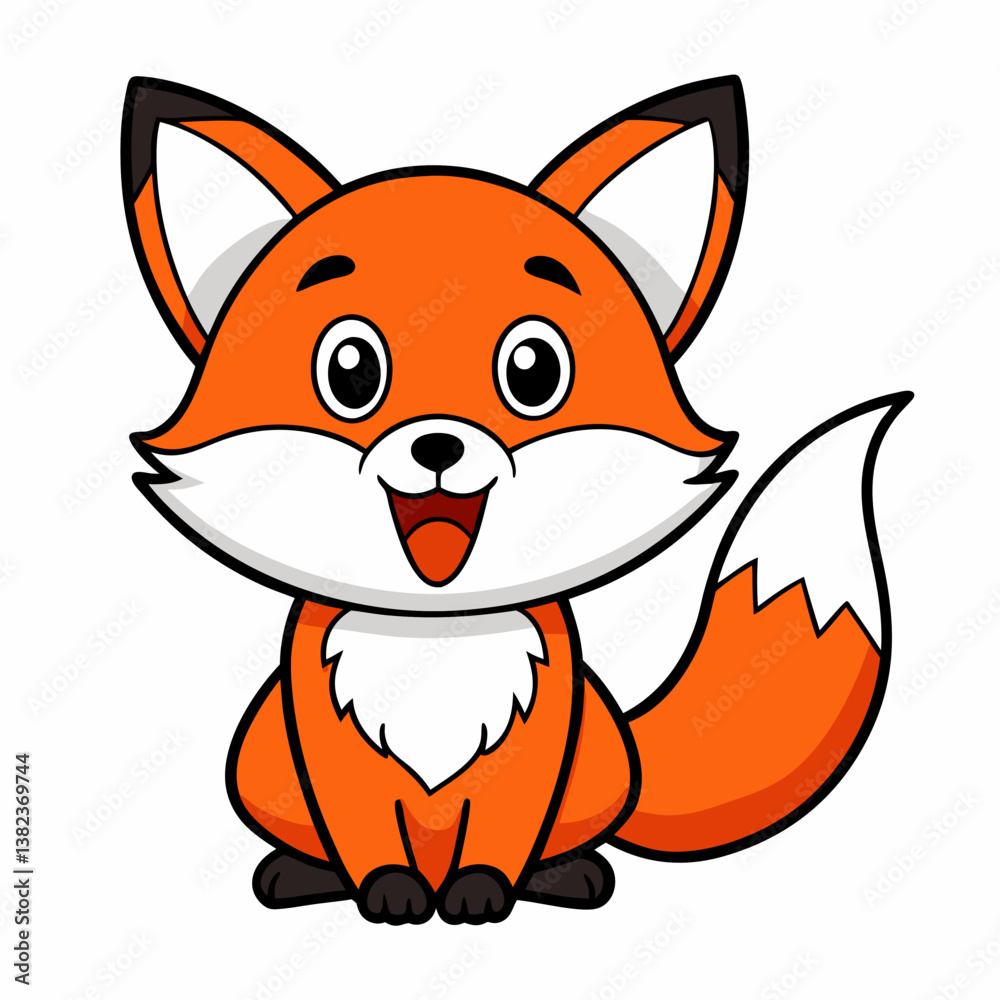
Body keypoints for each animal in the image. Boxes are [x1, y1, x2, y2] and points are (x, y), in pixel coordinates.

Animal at [121, 75, 910, 925]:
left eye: (534, 370)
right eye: (350, 371)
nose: (438, 445)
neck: (435, 635)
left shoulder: (537, 736)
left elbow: (503, 830)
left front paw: (482, 890)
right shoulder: (327, 736)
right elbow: (365, 833)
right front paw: (387, 890)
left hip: (599, 760)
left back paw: (563, 876)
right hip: (261, 755)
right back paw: (305, 875)